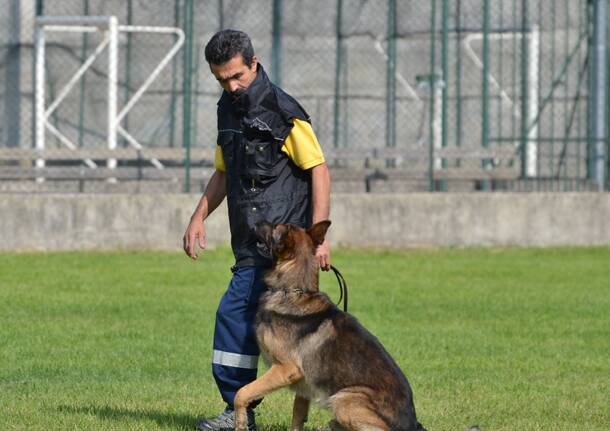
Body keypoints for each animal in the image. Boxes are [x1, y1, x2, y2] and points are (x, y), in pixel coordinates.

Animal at [233, 221, 428, 430]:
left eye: (274, 227)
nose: (257, 221)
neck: (294, 291)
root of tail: (413, 424)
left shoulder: (285, 369)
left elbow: (242, 392)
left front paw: (240, 423)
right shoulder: (303, 388)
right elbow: (297, 416)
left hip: (343, 399)